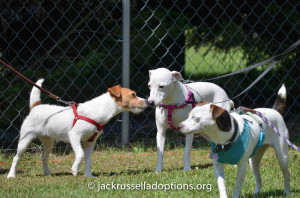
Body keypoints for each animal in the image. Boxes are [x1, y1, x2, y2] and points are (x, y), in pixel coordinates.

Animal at [7, 79, 148, 178]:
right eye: (133, 95)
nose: (148, 101)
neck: (98, 112)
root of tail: (36, 106)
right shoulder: (74, 136)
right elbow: (80, 154)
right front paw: (75, 170)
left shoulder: (90, 142)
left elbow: (88, 160)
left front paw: (88, 175)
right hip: (25, 140)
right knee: (16, 158)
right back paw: (11, 175)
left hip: (49, 142)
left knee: (43, 157)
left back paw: (47, 172)